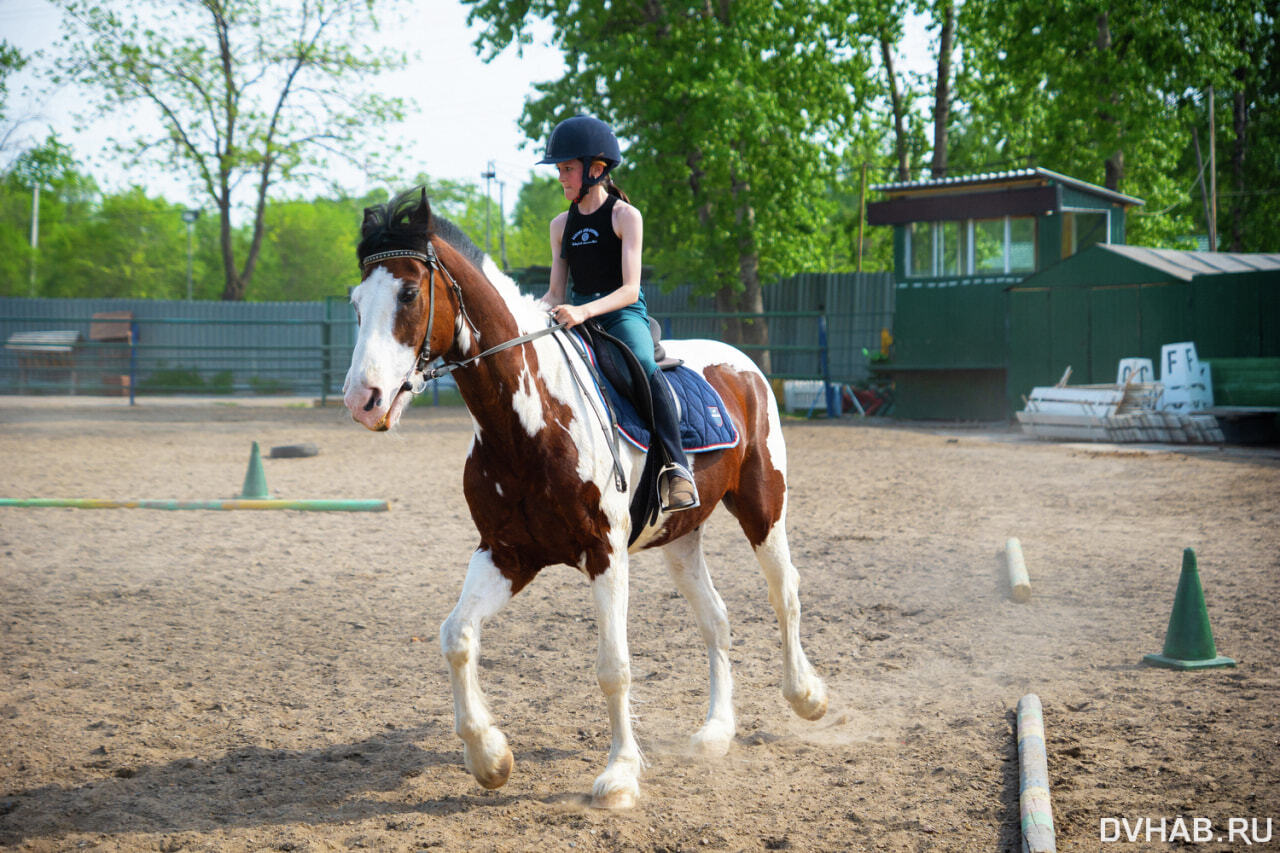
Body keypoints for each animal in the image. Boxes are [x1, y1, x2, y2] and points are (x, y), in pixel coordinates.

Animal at [343, 189, 819, 809]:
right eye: (356, 302)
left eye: (407, 293)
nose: (362, 399)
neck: (529, 421)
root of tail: (742, 365)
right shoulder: (506, 554)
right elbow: (456, 636)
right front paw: (489, 757)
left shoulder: (604, 554)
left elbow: (613, 667)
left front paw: (619, 775)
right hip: (680, 537)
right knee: (715, 619)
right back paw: (715, 732)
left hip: (764, 507)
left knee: (784, 593)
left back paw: (808, 696)